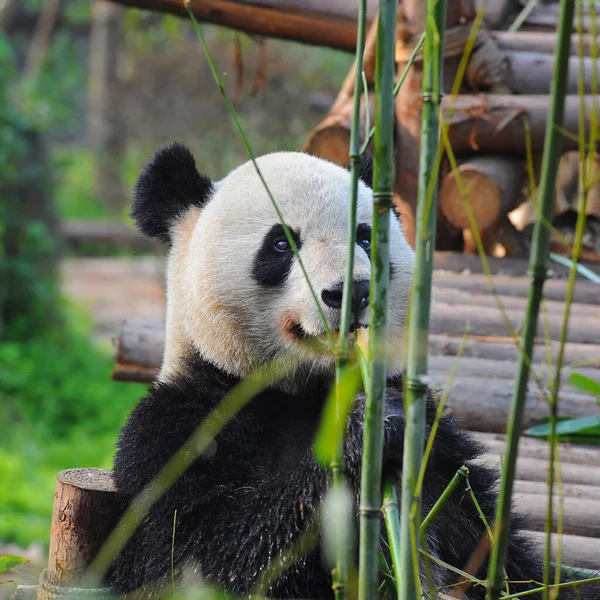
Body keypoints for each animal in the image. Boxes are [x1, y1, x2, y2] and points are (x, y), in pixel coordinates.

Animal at [108, 145, 596, 600]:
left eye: (365, 238)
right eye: (282, 244)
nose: (353, 292)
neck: (306, 388)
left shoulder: (437, 446)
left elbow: (495, 552)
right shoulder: (179, 428)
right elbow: (205, 553)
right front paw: (366, 432)